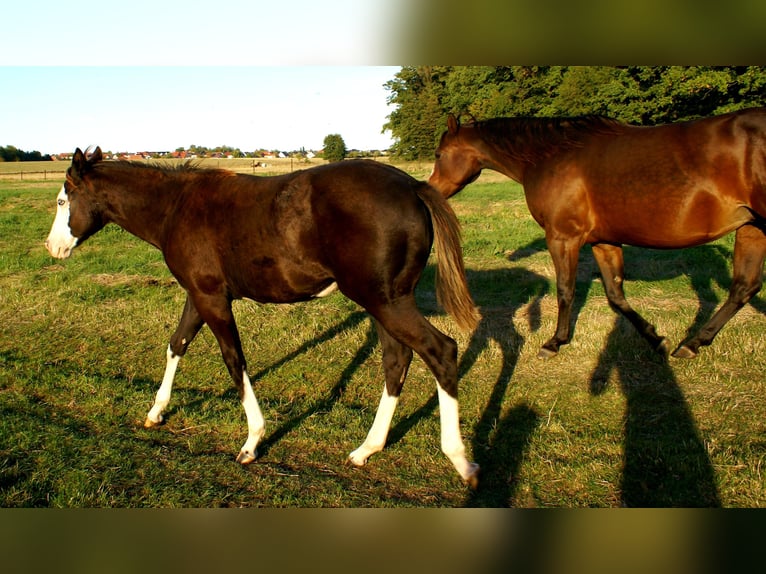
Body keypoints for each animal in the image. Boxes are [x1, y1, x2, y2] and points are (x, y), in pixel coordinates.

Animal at [45, 148, 481, 487]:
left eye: (63, 201)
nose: (52, 247)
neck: (176, 207)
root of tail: (412, 187)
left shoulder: (212, 300)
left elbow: (233, 360)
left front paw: (253, 441)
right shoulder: (199, 295)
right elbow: (177, 344)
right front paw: (156, 412)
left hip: (387, 302)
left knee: (441, 351)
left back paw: (461, 460)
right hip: (381, 304)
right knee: (397, 361)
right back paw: (366, 449)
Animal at [429, 108, 766, 359]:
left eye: (438, 154)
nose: (431, 190)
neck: (551, 157)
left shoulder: (562, 238)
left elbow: (565, 290)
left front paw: (554, 343)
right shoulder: (604, 242)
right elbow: (616, 296)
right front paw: (656, 339)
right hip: (752, 229)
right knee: (743, 288)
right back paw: (692, 344)